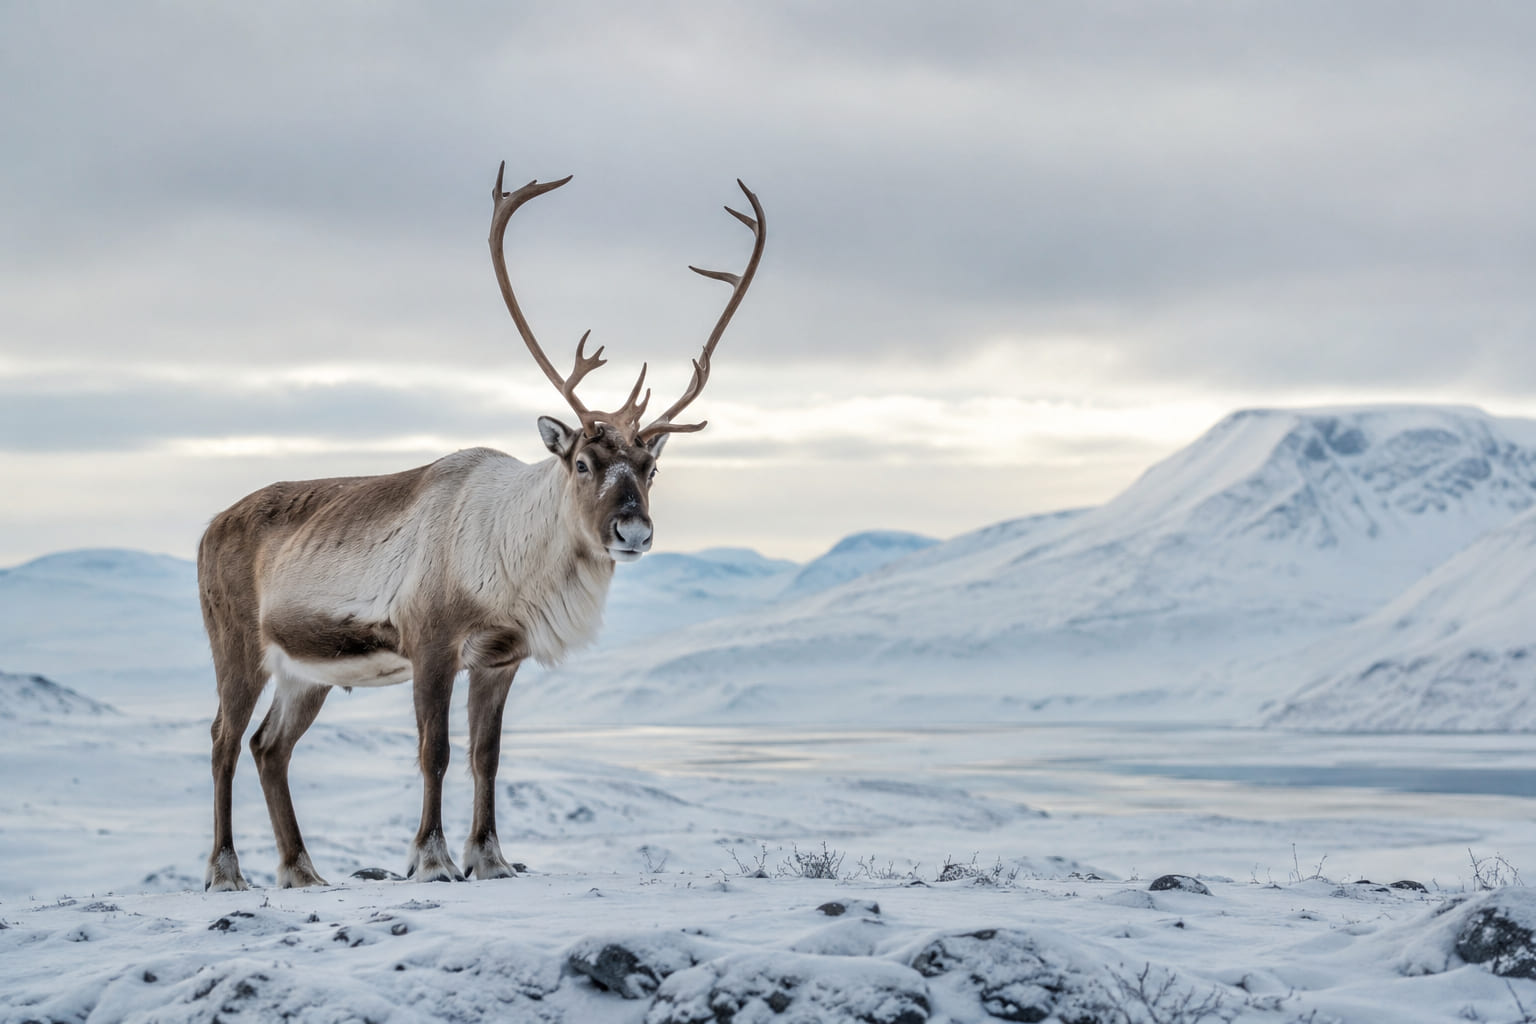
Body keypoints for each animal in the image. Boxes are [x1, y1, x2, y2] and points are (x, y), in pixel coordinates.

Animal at [198, 164, 764, 890]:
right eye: (583, 461)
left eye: (651, 467)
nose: (633, 532)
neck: (512, 556)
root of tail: (211, 526)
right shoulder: (432, 643)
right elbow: (435, 750)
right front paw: (433, 858)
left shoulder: (500, 658)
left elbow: (485, 755)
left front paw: (490, 858)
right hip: (237, 644)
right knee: (223, 740)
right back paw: (226, 871)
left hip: (305, 671)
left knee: (270, 746)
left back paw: (301, 870)